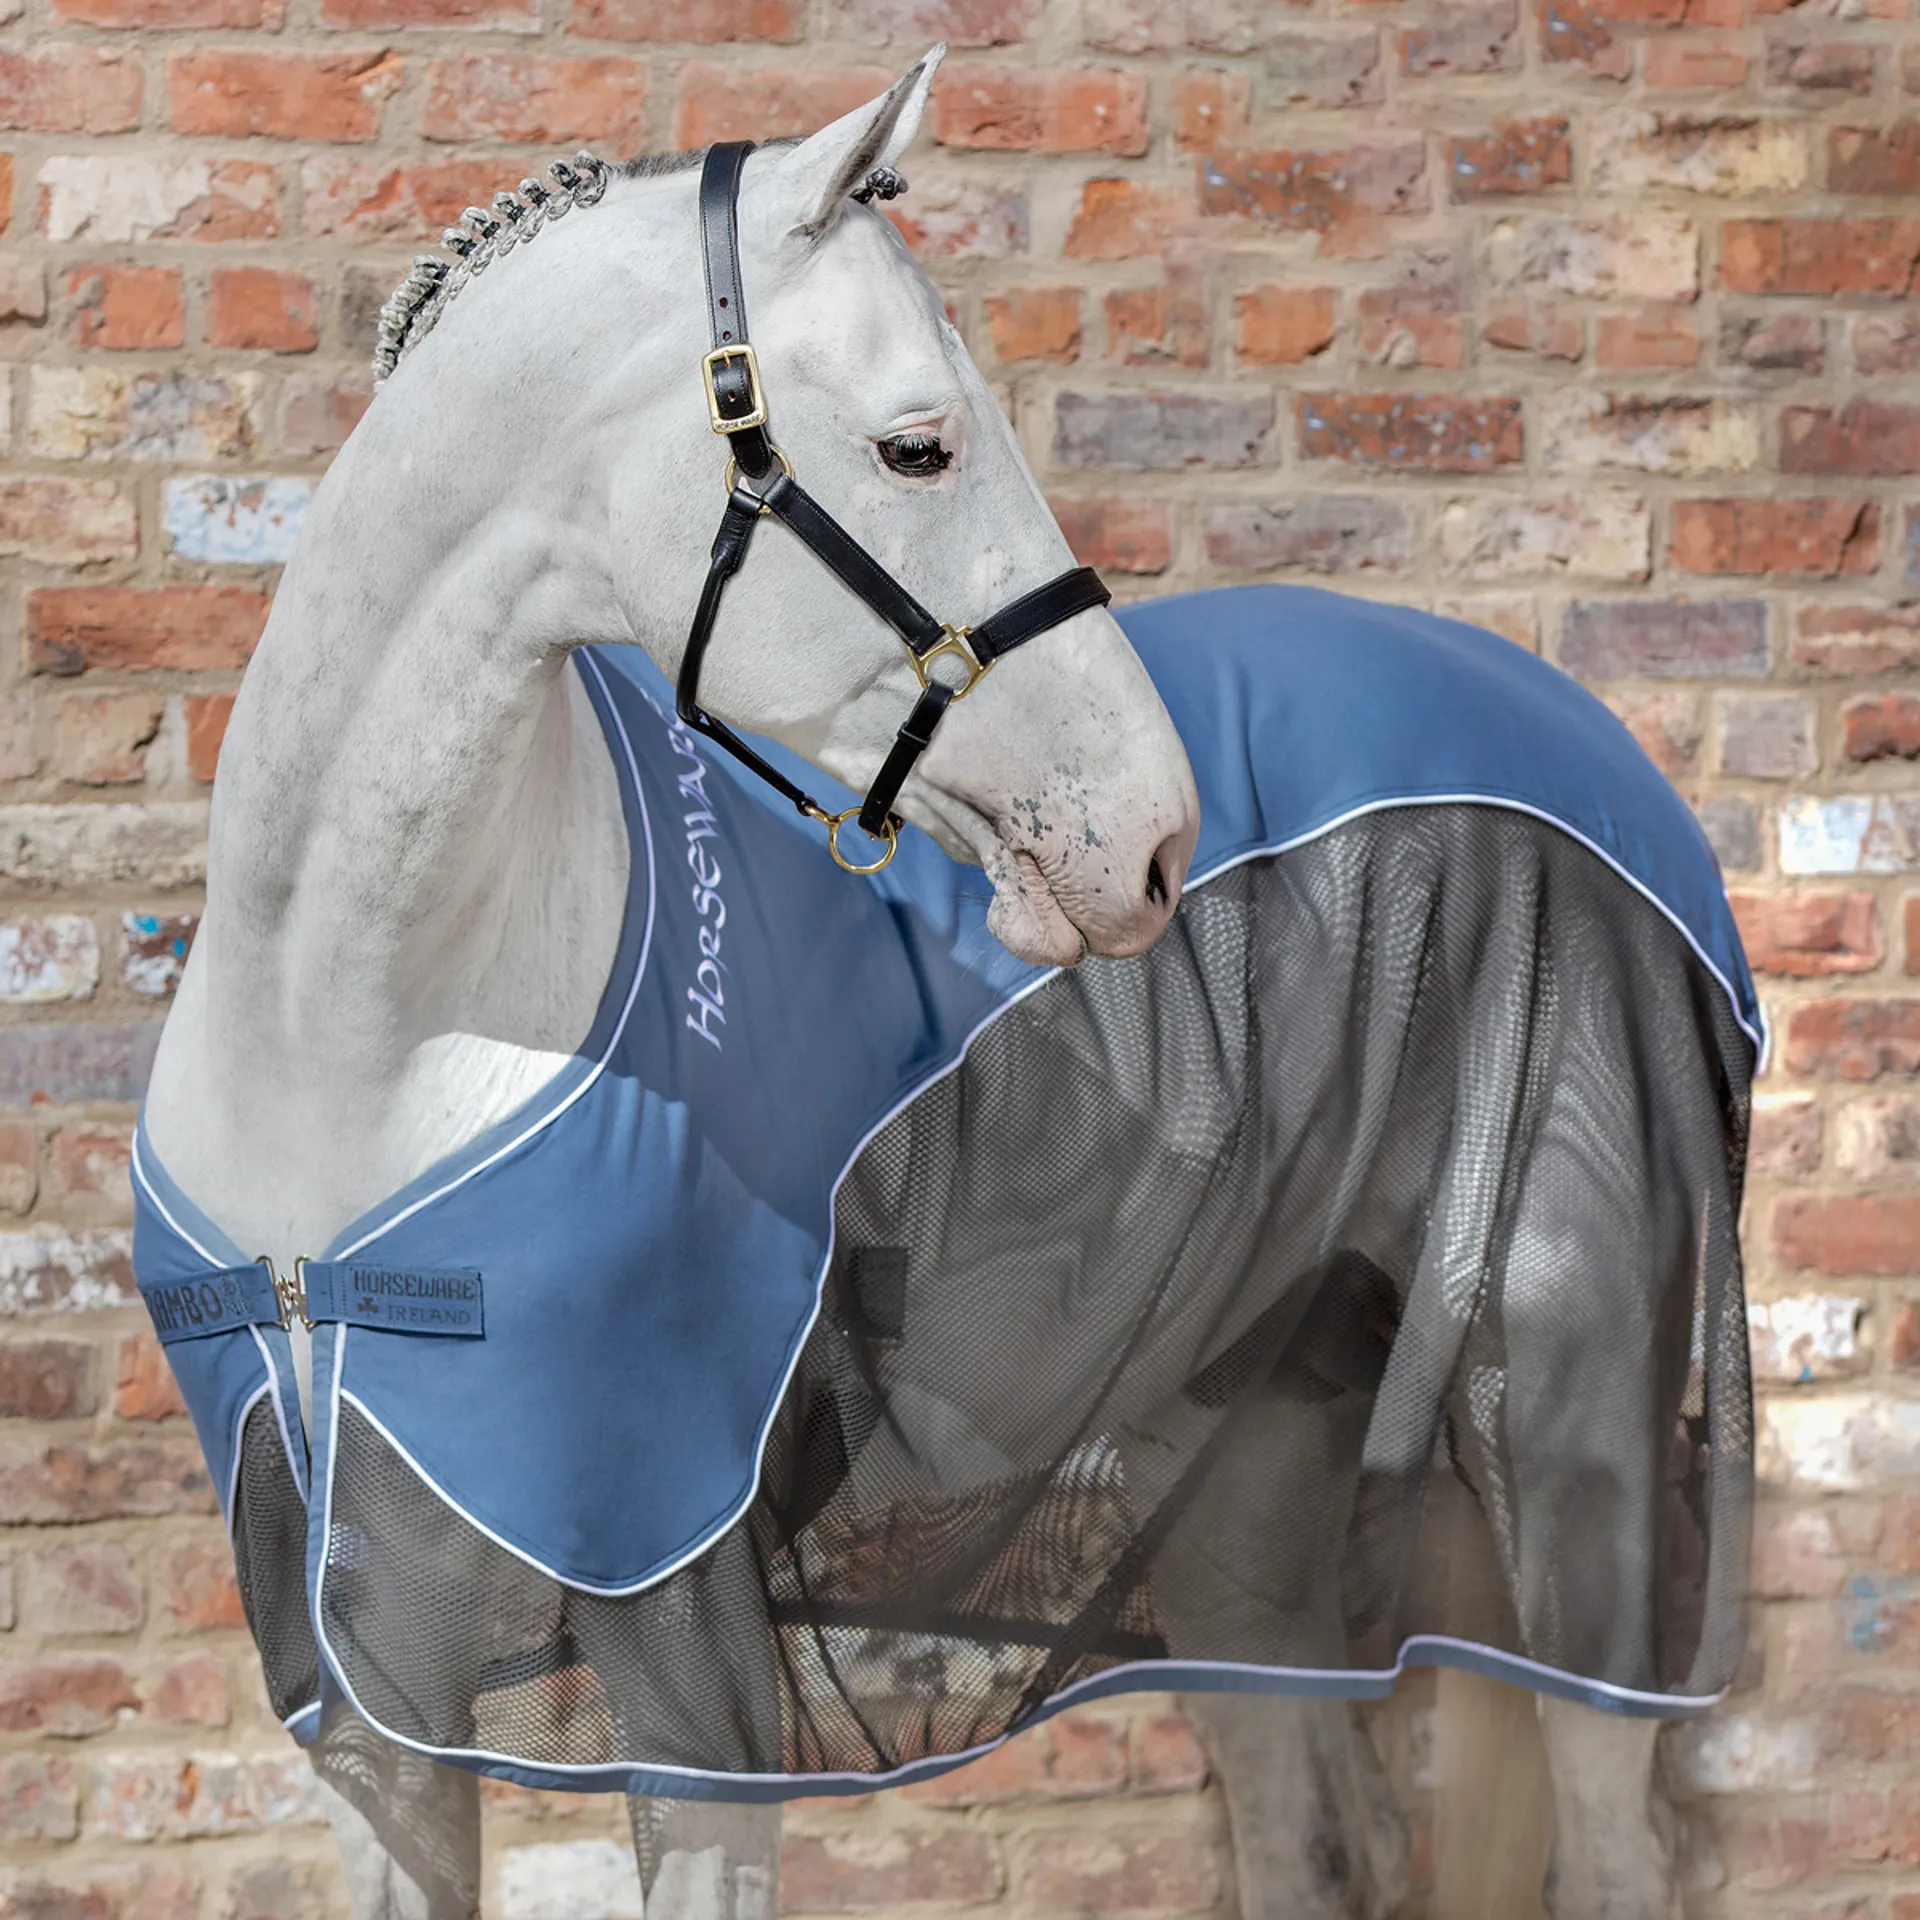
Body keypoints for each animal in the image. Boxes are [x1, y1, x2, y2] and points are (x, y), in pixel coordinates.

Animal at [135, 52, 1755, 1920]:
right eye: (922, 443)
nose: (1150, 836)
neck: (360, 1049)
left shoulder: (692, 1686)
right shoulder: (374, 1712)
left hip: (1566, 1461)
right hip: (1242, 1510)